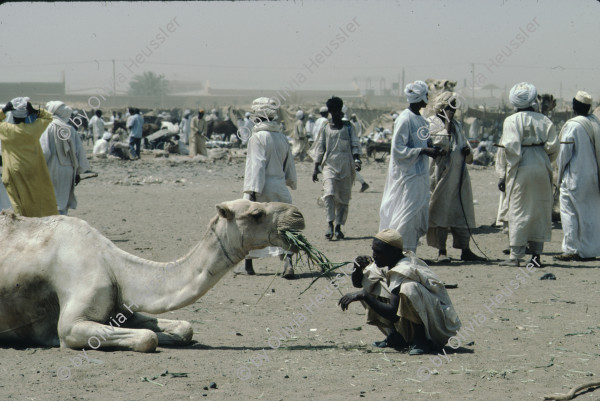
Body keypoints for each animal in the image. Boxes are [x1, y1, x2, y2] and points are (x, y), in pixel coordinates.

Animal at [0, 198, 304, 352]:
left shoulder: (122, 308)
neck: (114, 265)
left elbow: (183, 328)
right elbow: (148, 338)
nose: (298, 215)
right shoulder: (71, 324)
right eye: (256, 213)